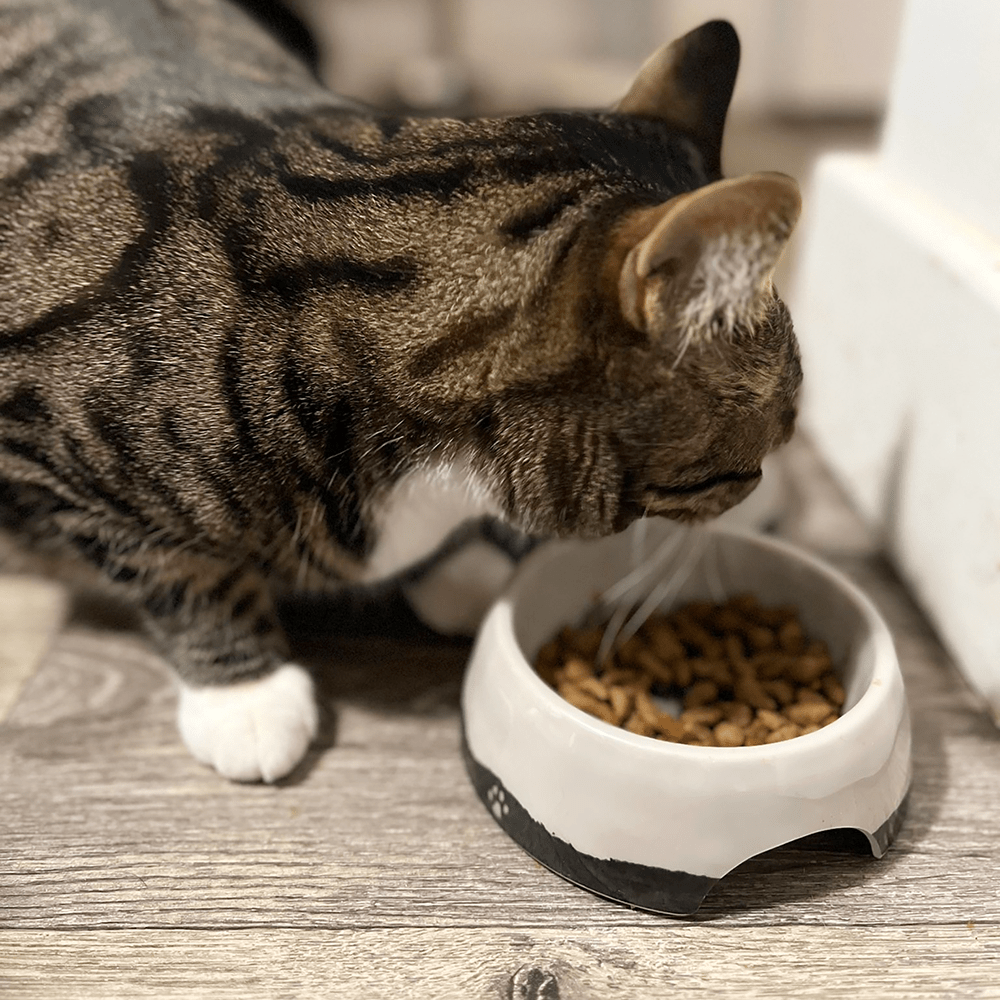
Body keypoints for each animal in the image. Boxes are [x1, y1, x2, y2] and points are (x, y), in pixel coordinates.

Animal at [0, 0, 796, 780]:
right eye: (770, 439)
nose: (770, 489)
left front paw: (462, 573)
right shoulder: (54, 461)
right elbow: (179, 574)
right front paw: (247, 697)